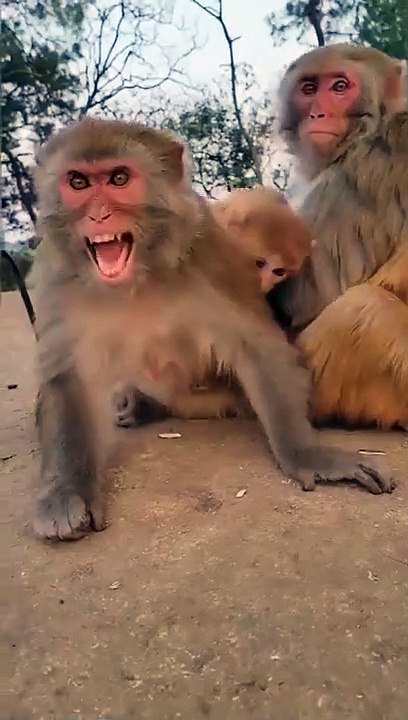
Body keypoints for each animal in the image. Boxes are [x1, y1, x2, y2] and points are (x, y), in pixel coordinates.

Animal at [30, 117, 395, 542]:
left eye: (119, 178)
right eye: (78, 182)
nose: (99, 214)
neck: (137, 277)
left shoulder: (209, 255)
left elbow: (257, 347)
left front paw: (309, 455)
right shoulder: (58, 276)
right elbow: (67, 376)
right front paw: (66, 492)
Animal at [273, 43, 408, 430]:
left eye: (339, 87)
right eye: (308, 88)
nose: (318, 114)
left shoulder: (355, 176)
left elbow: (305, 304)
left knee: (362, 306)